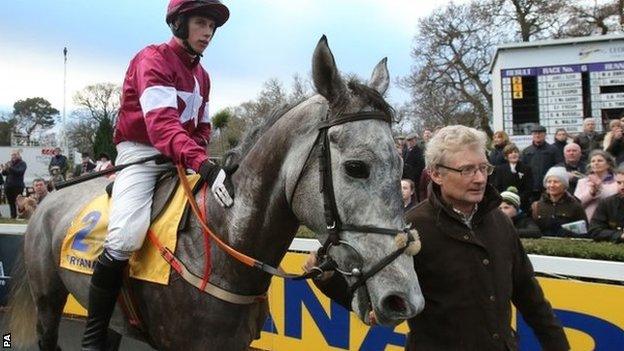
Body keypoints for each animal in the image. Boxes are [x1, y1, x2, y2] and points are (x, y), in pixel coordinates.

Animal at [6, 36, 424, 351]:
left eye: (401, 164)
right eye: (356, 167)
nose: (404, 299)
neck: (224, 243)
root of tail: (46, 198)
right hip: (48, 301)